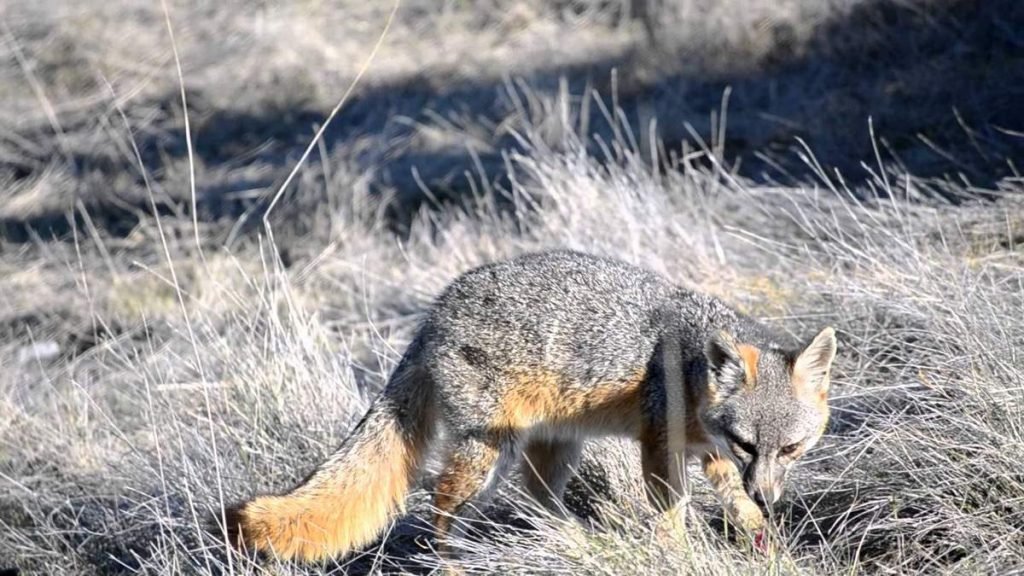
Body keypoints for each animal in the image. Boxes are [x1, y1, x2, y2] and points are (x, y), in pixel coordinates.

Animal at [220, 248, 835, 561]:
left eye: (791, 448)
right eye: (748, 442)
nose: (770, 493)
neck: (689, 366)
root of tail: (432, 317)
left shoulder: (706, 449)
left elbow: (731, 498)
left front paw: (758, 530)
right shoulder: (662, 446)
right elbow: (672, 512)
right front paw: (677, 555)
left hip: (554, 446)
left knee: (540, 503)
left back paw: (572, 541)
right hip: (490, 455)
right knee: (442, 514)